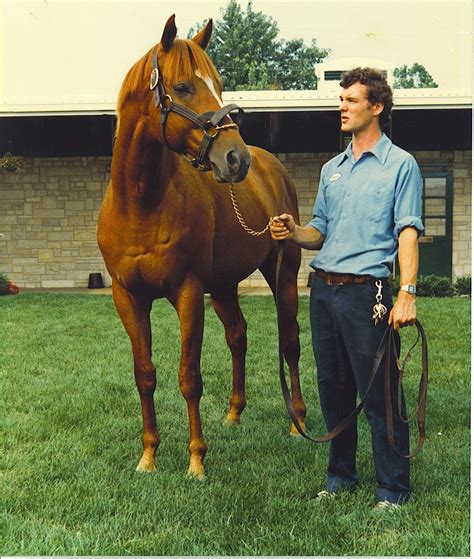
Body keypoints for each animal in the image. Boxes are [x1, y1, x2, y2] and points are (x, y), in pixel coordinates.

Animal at [98, 14, 310, 476]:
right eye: (181, 88)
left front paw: (196, 460)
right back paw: (233, 413)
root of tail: (270, 167)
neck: (142, 204)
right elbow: (145, 374)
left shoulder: (188, 291)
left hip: (282, 274)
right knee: (238, 336)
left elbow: (188, 377)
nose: (235, 159)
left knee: (290, 340)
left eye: (218, 83)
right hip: (225, 286)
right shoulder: (128, 297)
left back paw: (297, 422)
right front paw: (148, 456)